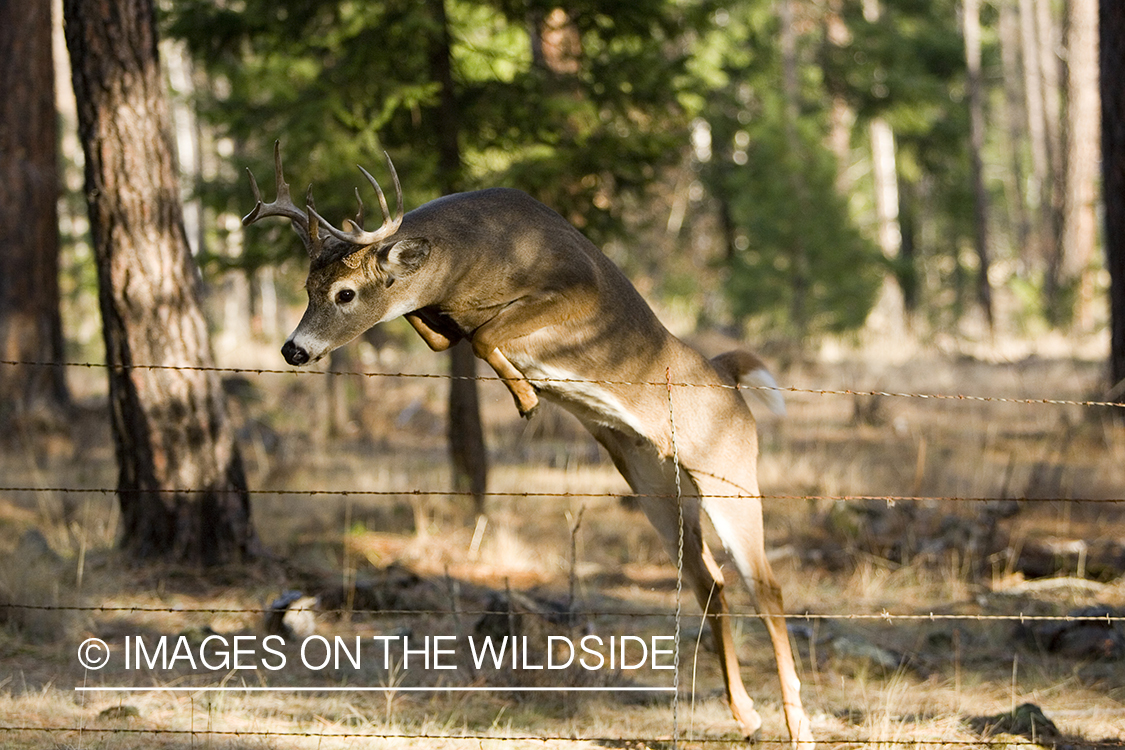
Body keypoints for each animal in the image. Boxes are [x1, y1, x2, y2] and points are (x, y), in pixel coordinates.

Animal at [241, 140, 814, 746]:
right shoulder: (445, 319)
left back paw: (797, 725)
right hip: (654, 483)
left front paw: (525, 396)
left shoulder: (575, 286)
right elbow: (449, 334)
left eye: (345, 293)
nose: (294, 350)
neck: (471, 260)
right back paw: (745, 714)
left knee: (767, 588)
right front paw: (518, 383)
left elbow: (485, 334)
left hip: (729, 471)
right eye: (307, 288)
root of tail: (728, 377)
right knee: (710, 582)